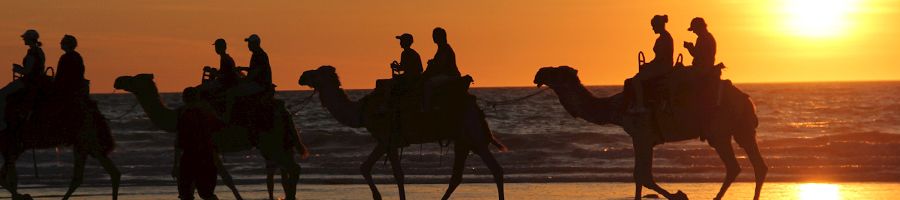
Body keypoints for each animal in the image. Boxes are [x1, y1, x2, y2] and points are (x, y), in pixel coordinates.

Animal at [112, 74, 308, 200]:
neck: (178, 115)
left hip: (271, 142)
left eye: (135, 78)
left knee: (293, 168)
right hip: (280, 142)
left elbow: (225, 178)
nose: (118, 80)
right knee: (284, 172)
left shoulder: (209, 144)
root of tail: (284, 112)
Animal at [296, 66, 506, 200]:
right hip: (462, 140)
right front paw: (377, 196)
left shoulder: (388, 139)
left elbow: (398, 175)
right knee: (458, 177)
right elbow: (365, 167)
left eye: (317, 71)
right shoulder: (383, 141)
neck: (362, 111)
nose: (302, 76)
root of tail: (477, 108)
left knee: (496, 170)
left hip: (473, 135)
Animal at [536, 66, 768, 200]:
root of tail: (747, 100)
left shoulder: (642, 136)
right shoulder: (640, 138)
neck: (616, 108)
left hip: (719, 131)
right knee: (758, 166)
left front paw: (679, 194)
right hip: (741, 130)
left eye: (556, 71)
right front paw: (678, 193)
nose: (538, 73)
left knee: (735, 166)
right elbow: (639, 176)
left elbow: (643, 176)